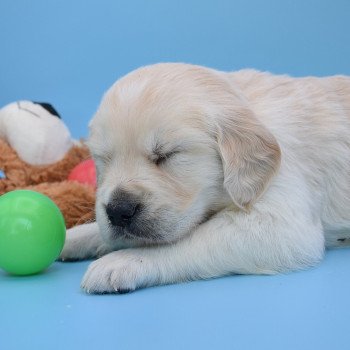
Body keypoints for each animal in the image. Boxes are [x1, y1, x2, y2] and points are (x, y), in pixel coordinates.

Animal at [60, 62, 350, 292]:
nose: (119, 210)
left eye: (167, 154)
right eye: (103, 159)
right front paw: (72, 237)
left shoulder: (282, 224)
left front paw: (122, 261)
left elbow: (185, 241)